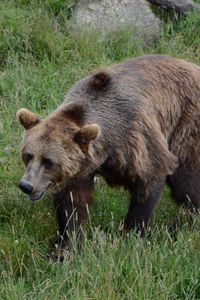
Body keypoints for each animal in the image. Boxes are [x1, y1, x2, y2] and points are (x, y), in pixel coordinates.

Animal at [16, 55, 200, 256]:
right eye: (28, 155)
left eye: (48, 161)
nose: (27, 185)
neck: (106, 149)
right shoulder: (79, 169)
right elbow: (72, 204)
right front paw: (65, 249)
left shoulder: (135, 140)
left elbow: (149, 180)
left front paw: (131, 236)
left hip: (186, 126)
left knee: (186, 182)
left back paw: (181, 225)